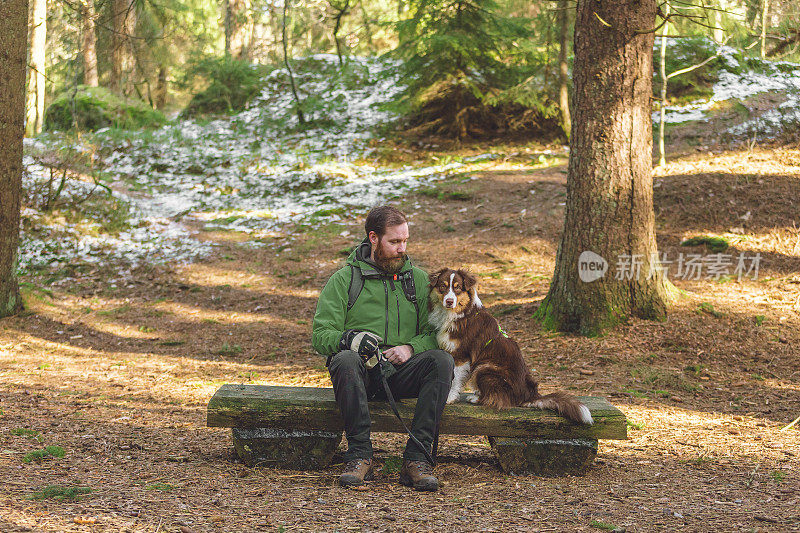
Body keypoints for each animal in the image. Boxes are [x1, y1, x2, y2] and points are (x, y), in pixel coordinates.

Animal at [428, 268, 592, 426]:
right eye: (443, 286)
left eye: (457, 288)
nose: (449, 301)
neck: (460, 314)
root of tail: (529, 395)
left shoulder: (461, 355)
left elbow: (455, 380)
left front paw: (449, 398)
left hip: (483, 367)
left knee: (498, 399)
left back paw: (476, 399)